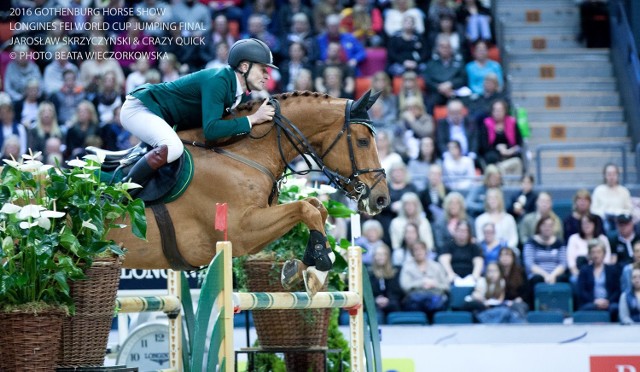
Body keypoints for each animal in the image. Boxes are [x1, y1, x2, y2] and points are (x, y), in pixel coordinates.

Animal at [107, 89, 390, 294]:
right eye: (363, 141)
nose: (381, 199)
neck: (243, 153)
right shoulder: (241, 230)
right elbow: (305, 208)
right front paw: (318, 269)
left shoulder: (254, 230)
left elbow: (315, 207)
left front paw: (297, 269)